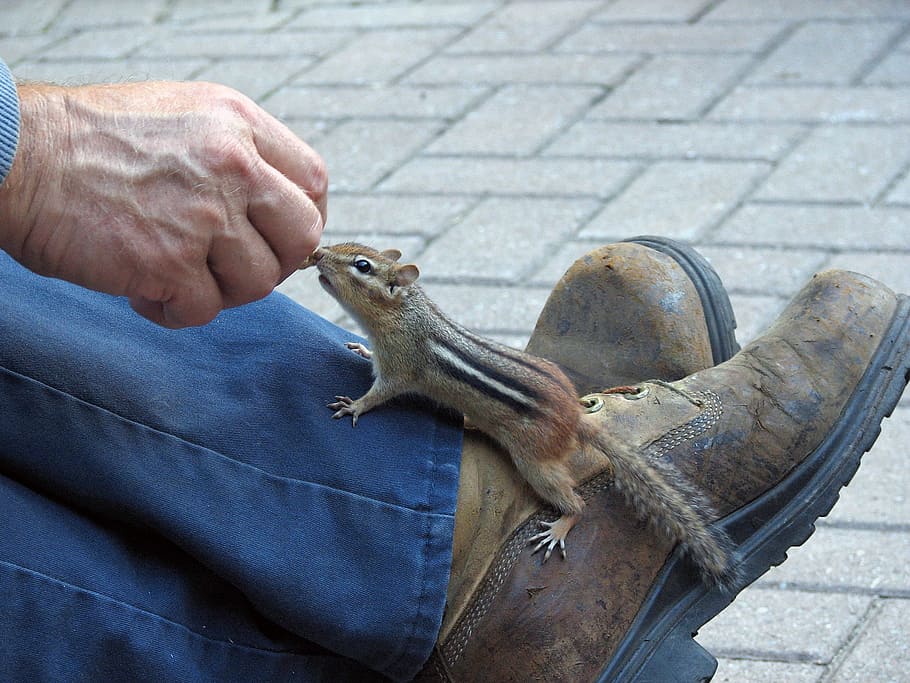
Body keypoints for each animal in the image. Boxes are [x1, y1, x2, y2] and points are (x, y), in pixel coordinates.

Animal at [301, 242, 735, 587]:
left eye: (361, 265)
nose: (318, 252)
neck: (406, 313)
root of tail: (575, 416)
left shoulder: (401, 366)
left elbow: (381, 393)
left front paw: (354, 405)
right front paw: (361, 349)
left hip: (534, 463)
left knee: (576, 502)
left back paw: (560, 527)